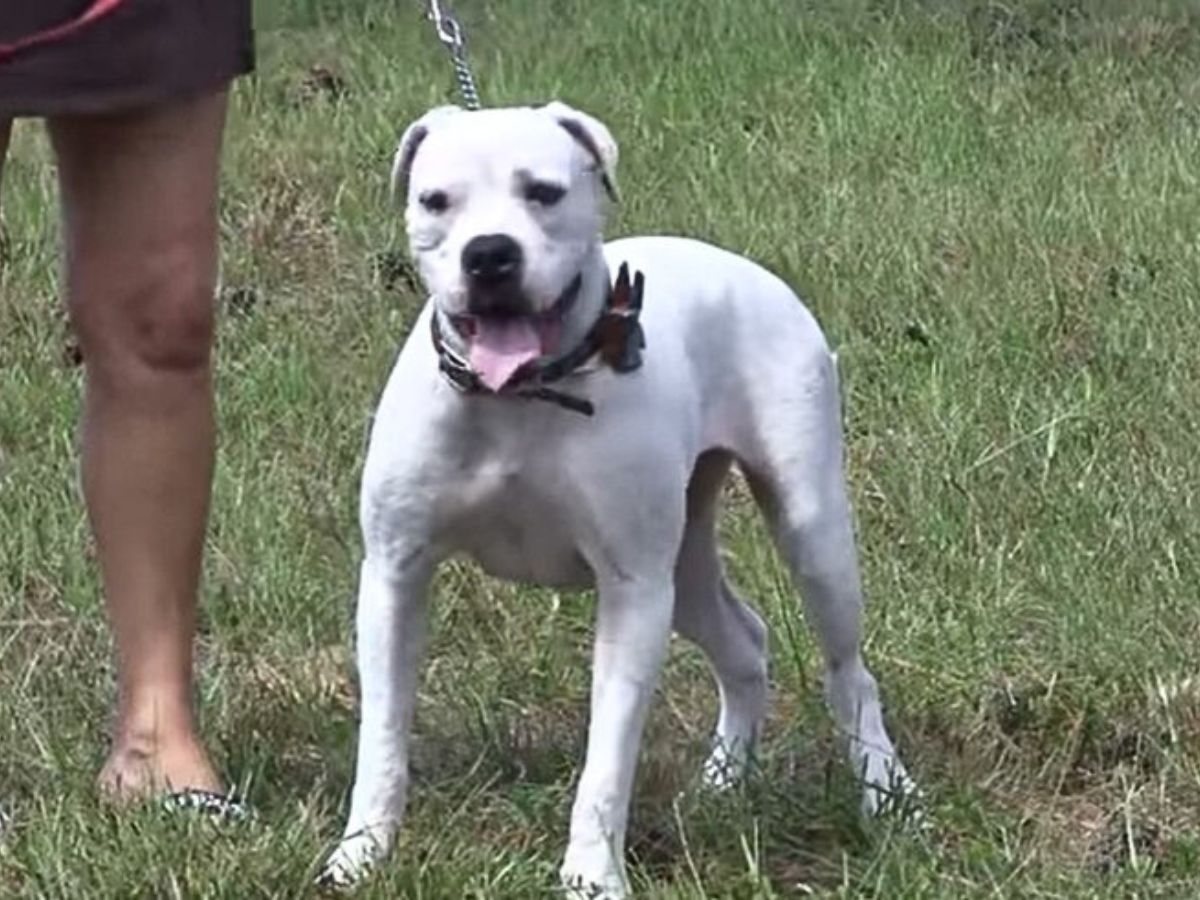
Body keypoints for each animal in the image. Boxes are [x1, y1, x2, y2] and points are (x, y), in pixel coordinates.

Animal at [324, 103, 912, 897]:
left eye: (543, 191)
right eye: (435, 201)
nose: (490, 255)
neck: (521, 398)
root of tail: (743, 266)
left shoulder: (632, 595)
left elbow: (607, 760)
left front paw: (592, 874)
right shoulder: (394, 575)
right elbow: (383, 732)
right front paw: (363, 850)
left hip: (808, 534)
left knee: (850, 674)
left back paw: (886, 792)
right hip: (683, 569)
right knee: (745, 642)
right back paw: (724, 780)